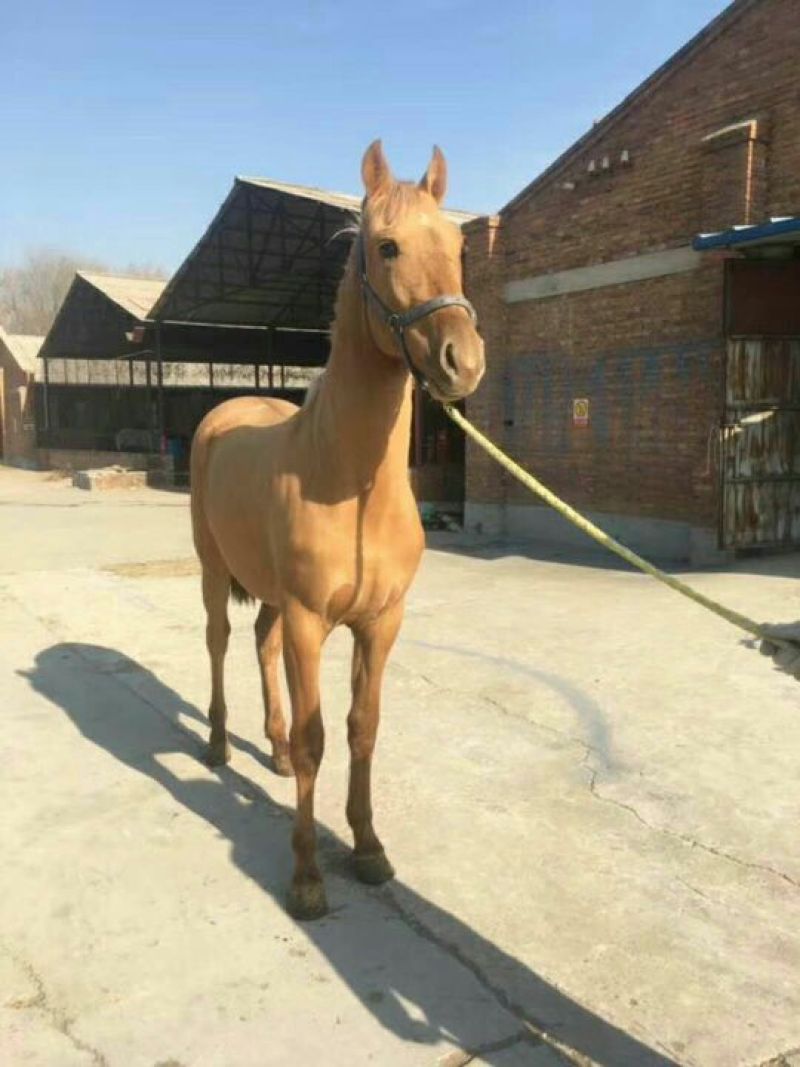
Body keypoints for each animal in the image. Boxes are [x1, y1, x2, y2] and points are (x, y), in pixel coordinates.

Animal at [189, 140, 485, 919]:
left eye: (459, 248)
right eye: (386, 246)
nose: (463, 362)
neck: (351, 486)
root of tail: (224, 412)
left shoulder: (379, 622)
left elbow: (362, 729)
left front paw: (370, 847)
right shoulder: (309, 620)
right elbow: (320, 737)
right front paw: (306, 877)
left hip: (269, 596)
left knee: (258, 644)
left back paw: (270, 748)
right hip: (214, 574)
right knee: (220, 642)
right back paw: (219, 745)